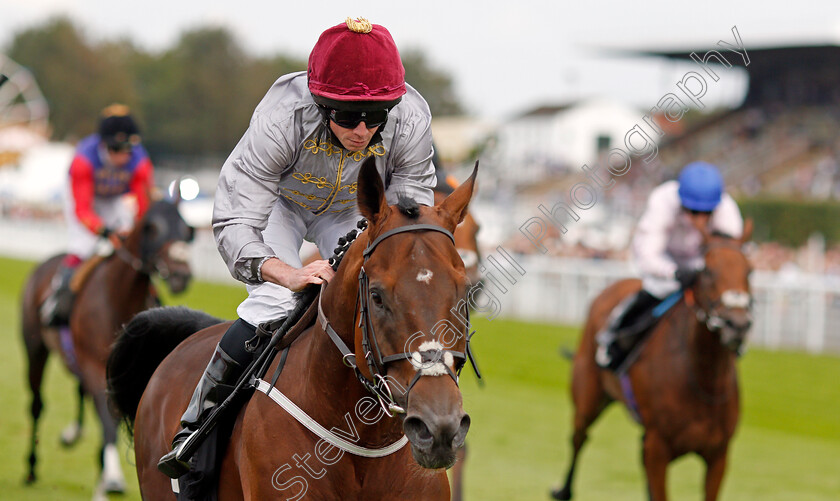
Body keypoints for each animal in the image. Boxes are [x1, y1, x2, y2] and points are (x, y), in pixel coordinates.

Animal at [20, 197, 194, 498]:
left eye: (185, 229)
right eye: (152, 228)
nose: (181, 275)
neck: (117, 298)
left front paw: (103, 477)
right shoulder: (93, 364)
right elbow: (108, 421)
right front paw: (111, 478)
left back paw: (73, 435)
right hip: (36, 349)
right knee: (37, 405)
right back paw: (31, 468)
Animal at [556, 225, 752, 500]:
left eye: (750, 270)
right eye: (706, 270)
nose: (738, 324)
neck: (702, 378)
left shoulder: (718, 455)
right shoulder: (658, 447)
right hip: (587, 395)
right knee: (579, 437)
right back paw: (563, 489)